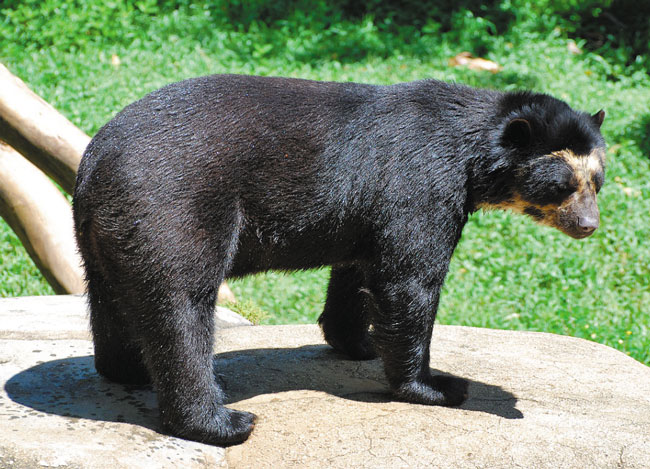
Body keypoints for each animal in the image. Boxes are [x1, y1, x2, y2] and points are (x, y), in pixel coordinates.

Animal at [73, 74, 604, 446]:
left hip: (104, 237)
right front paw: (437, 386)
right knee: (182, 309)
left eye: (597, 180)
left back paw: (129, 370)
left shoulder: (366, 211)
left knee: (113, 301)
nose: (589, 225)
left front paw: (359, 344)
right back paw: (224, 422)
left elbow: (358, 274)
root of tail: (95, 162)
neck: (472, 153)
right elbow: (410, 278)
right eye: (562, 184)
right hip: (175, 211)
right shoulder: (422, 186)